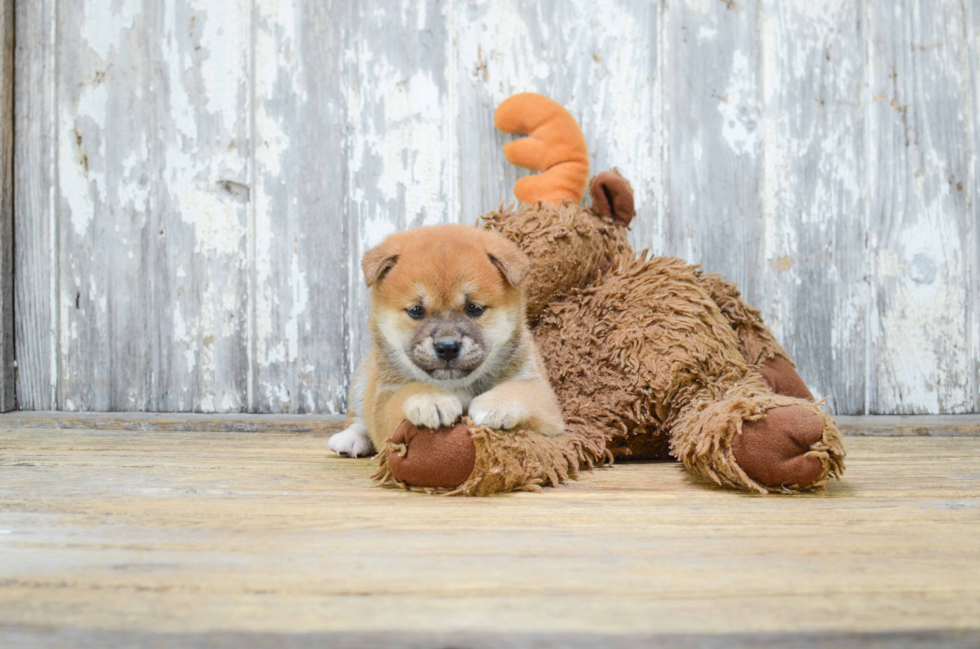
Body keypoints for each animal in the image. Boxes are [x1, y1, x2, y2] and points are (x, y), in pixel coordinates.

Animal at [328, 225, 564, 458]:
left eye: (474, 308)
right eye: (416, 310)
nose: (448, 348)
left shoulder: (543, 395)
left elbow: (520, 391)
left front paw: (496, 404)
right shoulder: (383, 401)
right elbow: (408, 391)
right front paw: (429, 399)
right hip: (363, 379)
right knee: (357, 417)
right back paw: (350, 439)